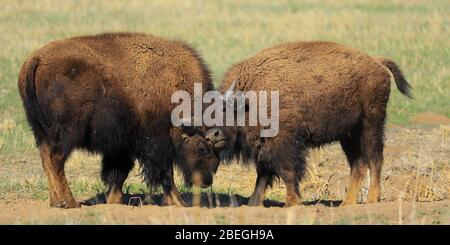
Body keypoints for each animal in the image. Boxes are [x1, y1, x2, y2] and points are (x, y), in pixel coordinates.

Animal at [18, 32, 220, 208]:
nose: (206, 181)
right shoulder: (157, 144)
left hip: (41, 132)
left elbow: (118, 173)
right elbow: (165, 174)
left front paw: (114, 201)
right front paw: (179, 202)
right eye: (202, 148)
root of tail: (36, 59)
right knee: (56, 160)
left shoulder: (122, 146)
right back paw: (69, 203)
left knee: (46, 159)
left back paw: (56, 201)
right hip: (67, 134)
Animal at [206, 41, 414, 206]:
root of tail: (377, 62)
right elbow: (263, 175)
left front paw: (292, 203)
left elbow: (288, 172)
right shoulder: (265, 149)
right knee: (358, 165)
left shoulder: (285, 145)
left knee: (375, 160)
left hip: (371, 125)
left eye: (226, 110)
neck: (250, 99)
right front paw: (253, 203)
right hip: (349, 135)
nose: (211, 136)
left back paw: (372, 199)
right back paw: (346, 203)